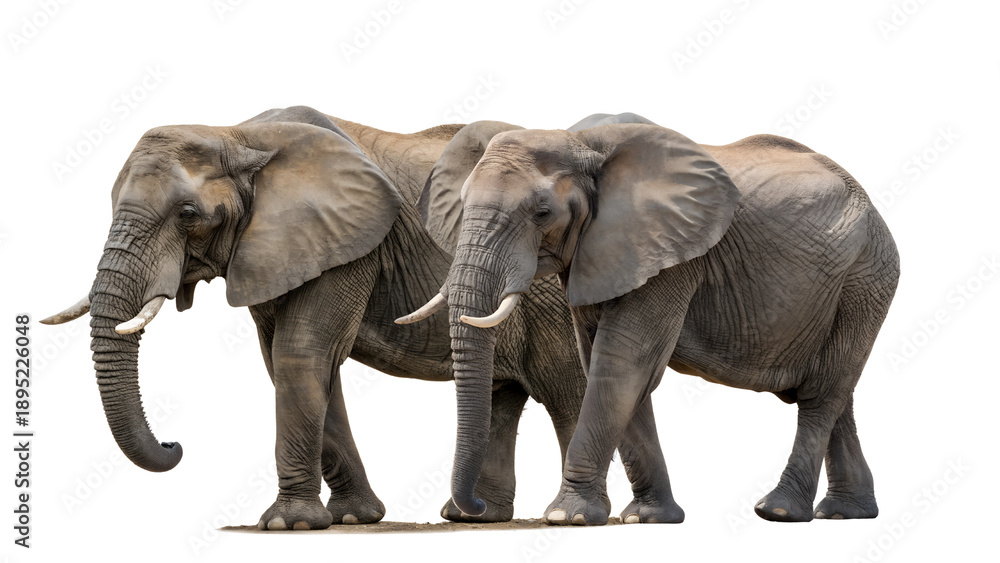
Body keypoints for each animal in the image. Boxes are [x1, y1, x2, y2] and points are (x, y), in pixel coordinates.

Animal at [401, 123, 900, 525]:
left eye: (542, 213)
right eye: (462, 204)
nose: (474, 509)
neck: (584, 144)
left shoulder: (671, 256)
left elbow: (623, 361)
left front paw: (567, 516)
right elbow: (604, 362)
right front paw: (647, 518)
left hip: (866, 278)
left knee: (822, 394)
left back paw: (778, 511)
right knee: (835, 391)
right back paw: (846, 512)